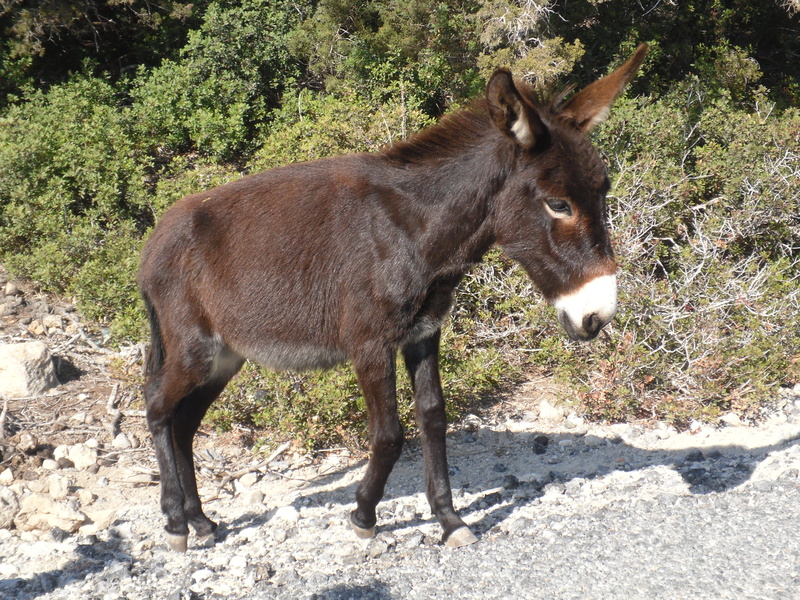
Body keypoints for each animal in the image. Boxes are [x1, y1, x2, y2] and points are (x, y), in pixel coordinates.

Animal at [138, 44, 648, 552]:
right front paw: (364, 515)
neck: (412, 231)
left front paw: (449, 519)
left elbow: (434, 418)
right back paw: (176, 524)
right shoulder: (369, 345)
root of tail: (153, 242)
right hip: (194, 348)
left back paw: (201, 521)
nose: (599, 315)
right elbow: (388, 435)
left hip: (225, 358)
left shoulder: (423, 333)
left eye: (603, 192)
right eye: (558, 204)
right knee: (158, 407)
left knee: (183, 425)